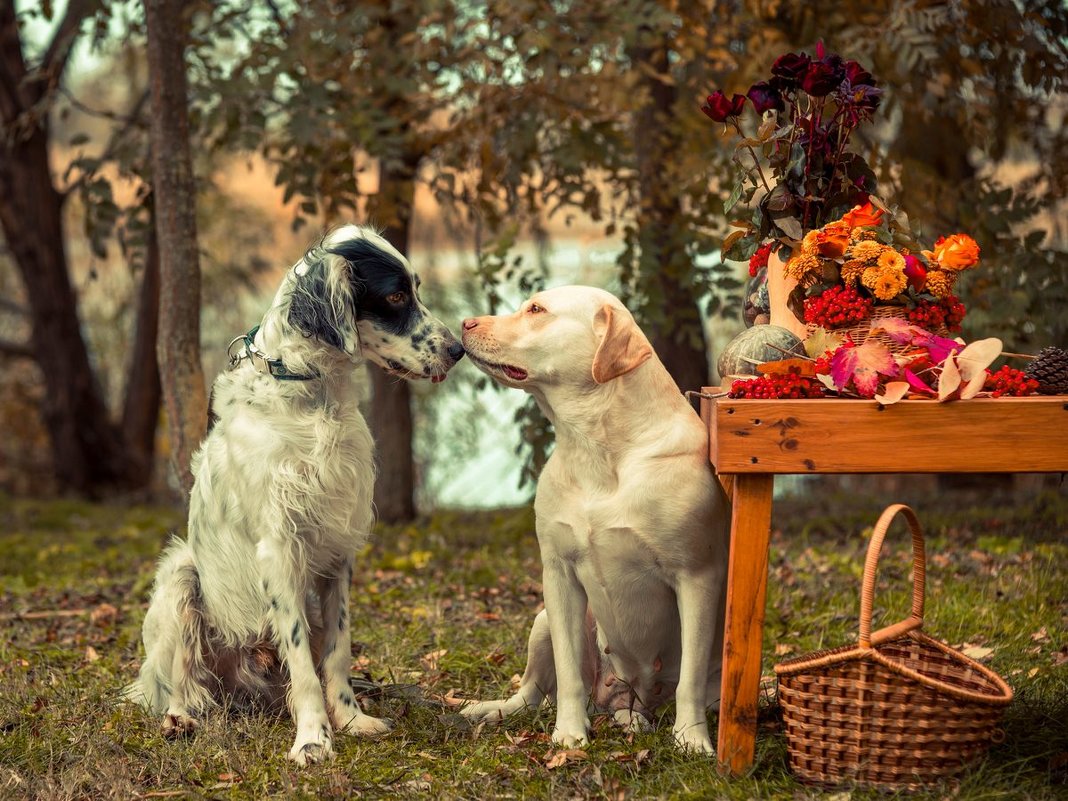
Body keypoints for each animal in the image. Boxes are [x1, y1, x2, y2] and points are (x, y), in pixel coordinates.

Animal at [127, 224, 461, 764]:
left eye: (416, 290)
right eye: (395, 296)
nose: (458, 349)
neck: (312, 396)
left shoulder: (338, 549)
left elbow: (337, 651)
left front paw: (350, 719)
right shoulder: (279, 547)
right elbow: (303, 661)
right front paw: (313, 738)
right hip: (181, 574)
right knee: (177, 680)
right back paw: (179, 718)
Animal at [463, 286, 730, 751]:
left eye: (536, 309)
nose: (464, 323)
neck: (595, 444)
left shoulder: (697, 577)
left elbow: (690, 680)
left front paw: (692, 740)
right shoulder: (559, 574)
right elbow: (568, 672)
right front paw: (569, 734)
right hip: (542, 621)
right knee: (530, 693)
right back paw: (492, 710)